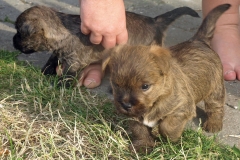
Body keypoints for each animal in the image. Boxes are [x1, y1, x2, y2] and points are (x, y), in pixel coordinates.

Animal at [12, 4, 198, 85]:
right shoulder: (58, 53)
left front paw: (60, 85)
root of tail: (155, 21)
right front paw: (45, 73)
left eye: (19, 33)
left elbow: (67, 75)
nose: (13, 41)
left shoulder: (74, 62)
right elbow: (51, 61)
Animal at [101, 3, 229, 151]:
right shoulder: (135, 116)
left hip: (215, 88)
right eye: (116, 85)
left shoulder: (181, 109)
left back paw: (214, 124)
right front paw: (144, 145)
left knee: (216, 106)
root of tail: (198, 40)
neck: (158, 98)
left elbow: (167, 127)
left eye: (145, 86)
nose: (126, 105)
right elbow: (139, 130)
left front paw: (171, 141)